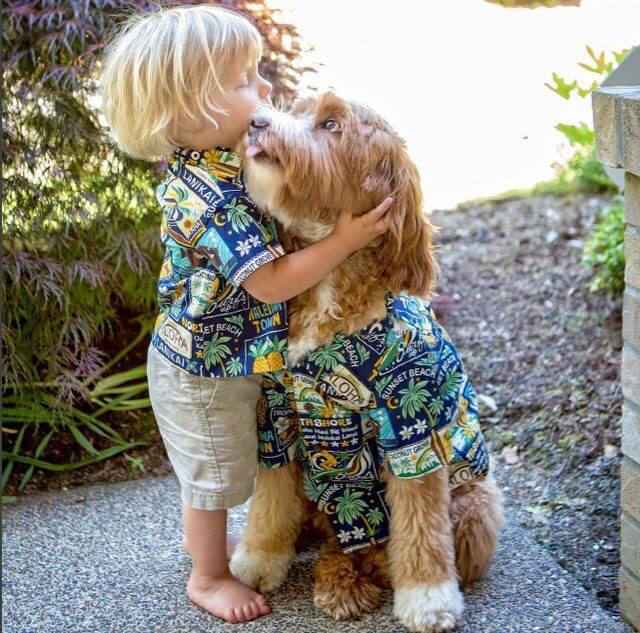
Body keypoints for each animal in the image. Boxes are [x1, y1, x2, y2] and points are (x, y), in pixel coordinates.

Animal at [230, 91, 504, 628]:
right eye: (297, 109)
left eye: (331, 125)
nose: (256, 121)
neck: (329, 278)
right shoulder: (279, 419)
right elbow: (270, 500)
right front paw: (258, 559)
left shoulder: (409, 426)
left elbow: (420, 525)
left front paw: (427, 599)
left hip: (475, 502)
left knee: (375, 542)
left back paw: (355, 571)